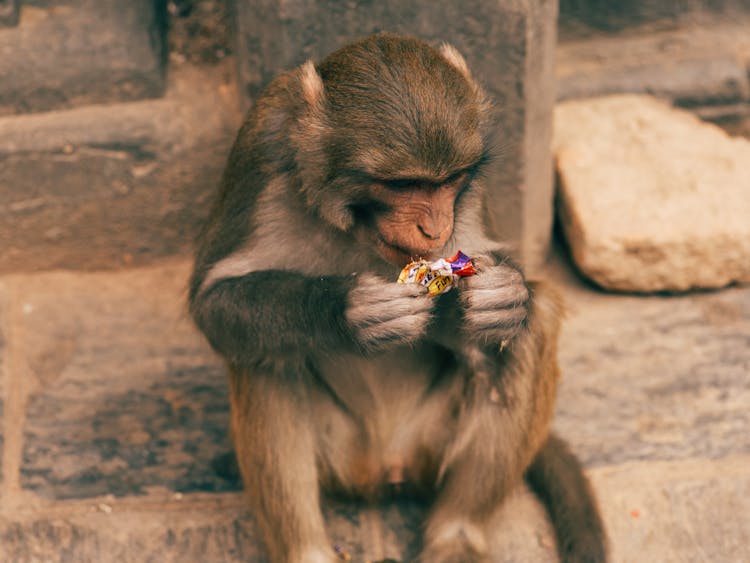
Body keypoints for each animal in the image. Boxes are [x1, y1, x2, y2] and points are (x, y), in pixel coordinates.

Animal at [191, 32, 608, 563]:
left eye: (448, 181)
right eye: (401, 184)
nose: (435, 227)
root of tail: (383, 466)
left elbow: (493, 285)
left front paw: (504, 298)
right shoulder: (260, 144)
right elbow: (214, 300)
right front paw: (350, 313)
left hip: (430, 442)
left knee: (536, 326)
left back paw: (456, 533)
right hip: (342, 453)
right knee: (264, 356)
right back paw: (306, 549)